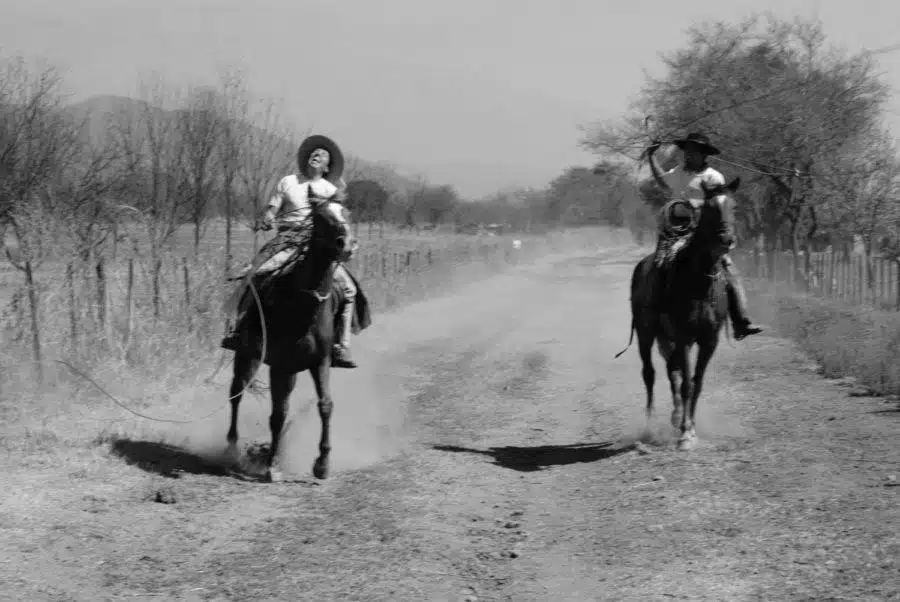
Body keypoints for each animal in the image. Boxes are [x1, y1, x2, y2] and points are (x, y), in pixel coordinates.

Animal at [223, 199, 354, 480]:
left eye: (347, 213)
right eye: (322, 217)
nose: (347, 244)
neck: (303, 305)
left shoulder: (320, 362)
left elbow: (325, 405)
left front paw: (322, 464)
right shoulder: (280, 366)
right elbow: (278, 414)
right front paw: (272, 465)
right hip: (246, 355)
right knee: (236, 394)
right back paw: (231, 449)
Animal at [620, 176, 740, 448]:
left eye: (734, 206)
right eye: (709, 209)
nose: (727, 239)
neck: (698, 283)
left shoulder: (709, 340)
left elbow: (696, 382)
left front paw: (689, 427)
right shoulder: (684, 337)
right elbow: (686, 384)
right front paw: (685, 434)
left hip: (667, 338)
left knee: (671, 371)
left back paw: (675, 417)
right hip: (646, 334)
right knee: (650, 374)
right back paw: (650, 425)